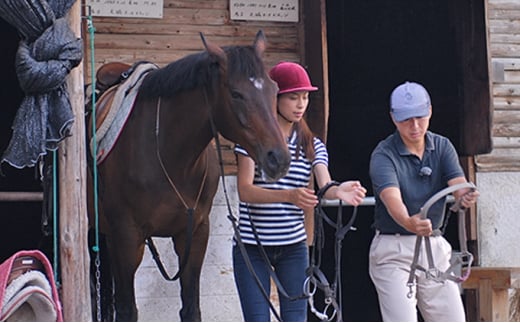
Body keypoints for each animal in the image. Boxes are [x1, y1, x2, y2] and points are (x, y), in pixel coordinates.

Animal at [87, 29, 290, 322]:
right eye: (236, 94)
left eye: (274, 90)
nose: (279, 159)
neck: (168, 153)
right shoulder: (127, 236)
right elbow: (127, 309)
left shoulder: (194, 234)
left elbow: (191, 308)